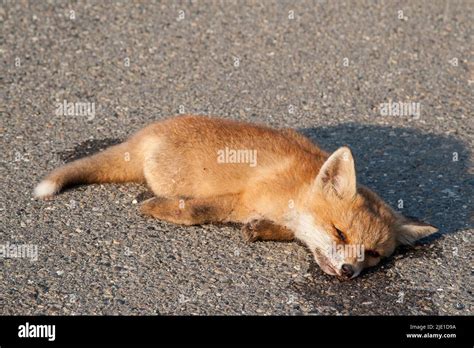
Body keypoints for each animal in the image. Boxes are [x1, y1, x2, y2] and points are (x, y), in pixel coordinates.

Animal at [35, 115, 438, 278]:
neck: (295, 191)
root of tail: (147, 133)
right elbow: (197, 211)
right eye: (340, 233)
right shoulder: (241, 198)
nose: (348, 272)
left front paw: (262, 230)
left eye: (372, 255)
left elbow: (280, 230)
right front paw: (159, 209)